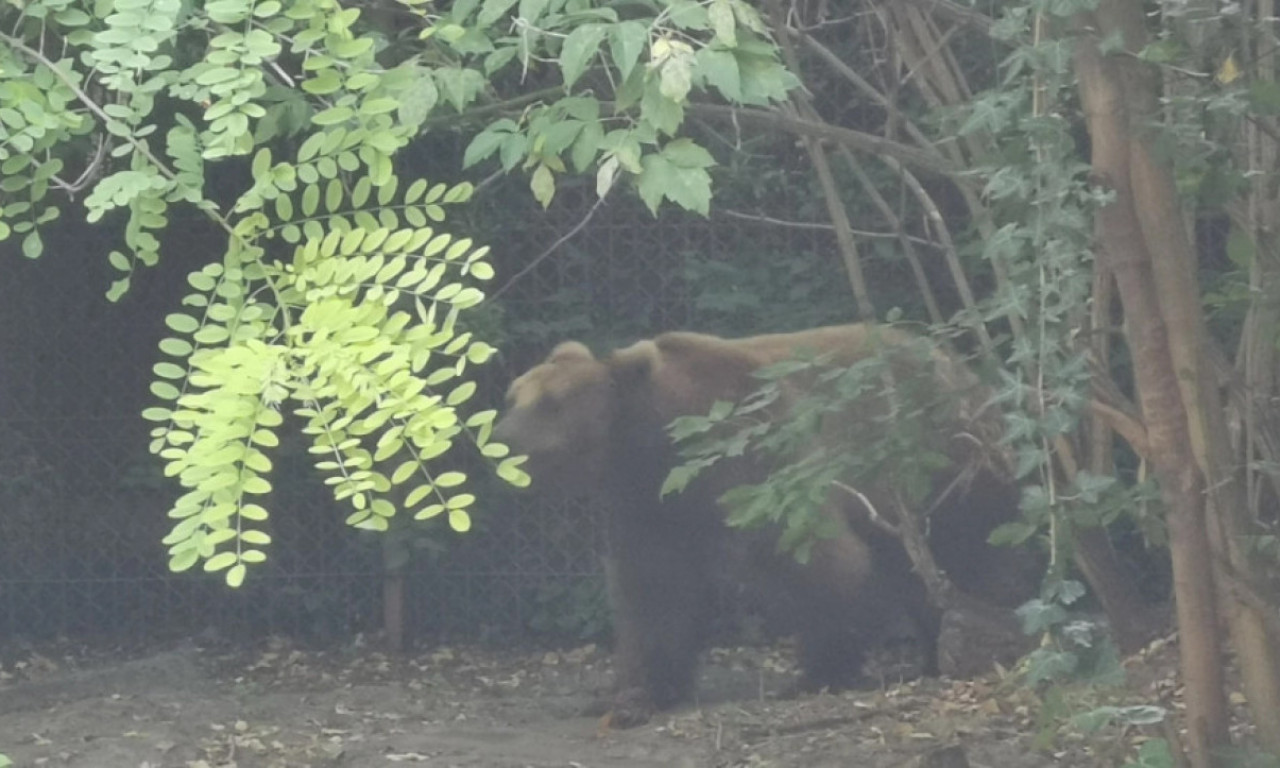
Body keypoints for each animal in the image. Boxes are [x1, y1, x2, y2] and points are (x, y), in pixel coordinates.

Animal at [494, 322, 1034, 727]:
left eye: (551, 404)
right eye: (513, 396)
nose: (499, 438)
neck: (660, 444)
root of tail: (963, 369)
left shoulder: (760, 462)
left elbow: (818, 560)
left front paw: (814, 672)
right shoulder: (651, 506)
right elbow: (654, 592)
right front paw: (633, 693)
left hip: (944, 464)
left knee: (972, 547)